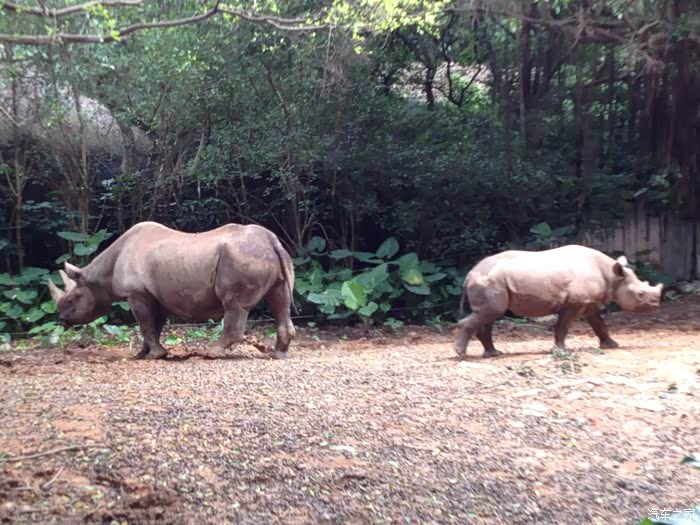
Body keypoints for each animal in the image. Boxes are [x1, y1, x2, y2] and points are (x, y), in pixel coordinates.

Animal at [48, 221, 296, 360]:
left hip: (242, 257)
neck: (100, 275)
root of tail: (272, 240)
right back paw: (278, 354)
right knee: (280, 300)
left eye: (72, 299)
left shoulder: (136, 293)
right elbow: (153, 326)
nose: (62, 319)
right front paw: (142, 355)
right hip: (264, 256)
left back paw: (212, 353)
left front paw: (156, 355)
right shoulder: (154, 295)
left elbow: (145, 324)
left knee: (235, 305)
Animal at [455, 245, 663, 357]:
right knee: (490, 313)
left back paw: (493, 354)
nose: (656, 306)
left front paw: (612, 345)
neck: (612, 276)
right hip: (489, 280)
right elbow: (563, 325)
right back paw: (461, 354)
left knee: (488, 315)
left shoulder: (588, 302)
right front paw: (561, 351)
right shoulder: (576, 302)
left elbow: (598, 323)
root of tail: (470, 273)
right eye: (640, 294)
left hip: (490, 280)